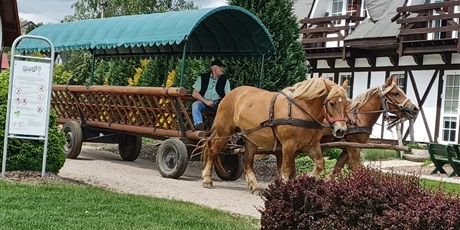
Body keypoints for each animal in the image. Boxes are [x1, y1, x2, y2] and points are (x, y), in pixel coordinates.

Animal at [201, 77, 348, 194]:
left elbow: (320, 164)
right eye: (332, 103)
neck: (302, 110)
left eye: (346, 104)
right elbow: (287, 169)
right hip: (224, 132)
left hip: (251, 139)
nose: (341, 130)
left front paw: (307, 180)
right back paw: (207, 179)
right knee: (213, 151)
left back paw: (255, 186)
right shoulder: (288, 145)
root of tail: (231, 93)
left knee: (247, 162)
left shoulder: (310, 145)